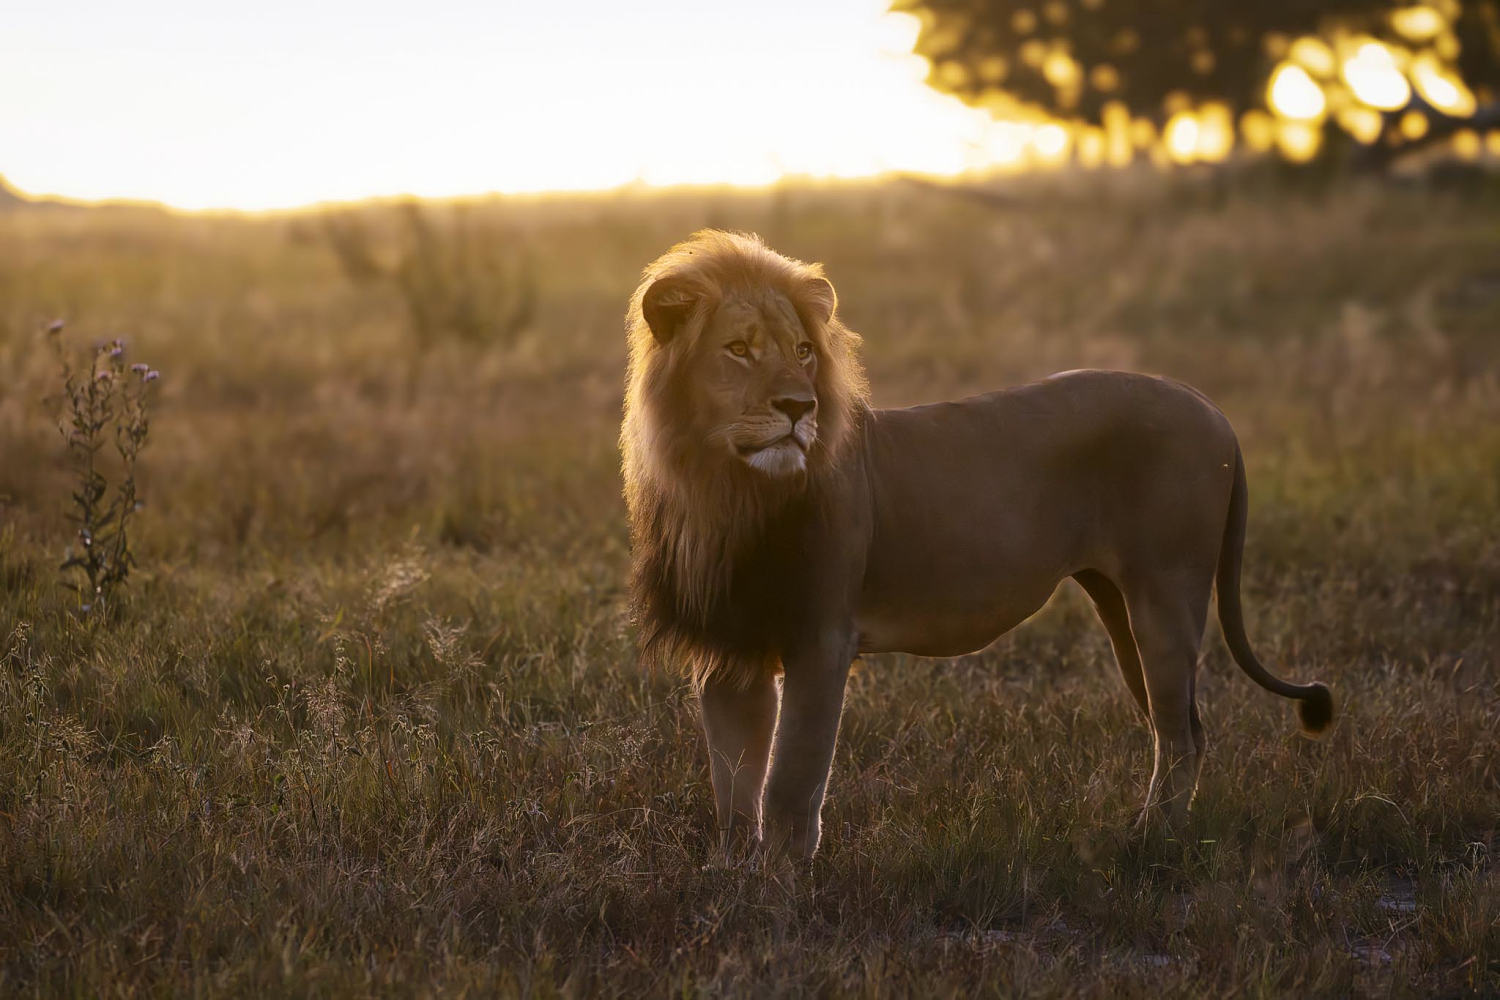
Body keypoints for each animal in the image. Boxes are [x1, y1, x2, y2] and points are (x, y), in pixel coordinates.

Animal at [621, 230, 1333, 861]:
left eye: (802, 351)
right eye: (738, 349)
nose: (800, 408)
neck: (725, 491)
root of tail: (1212, 409)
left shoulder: (820, 639)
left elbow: (790, 786)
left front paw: (783, 890)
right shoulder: (728, 650)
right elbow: (734, 791)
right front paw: (735, 881)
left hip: (1166, 595)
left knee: (1182, 736)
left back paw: (1147, 846)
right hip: (1122, 606)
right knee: (1181, 727)